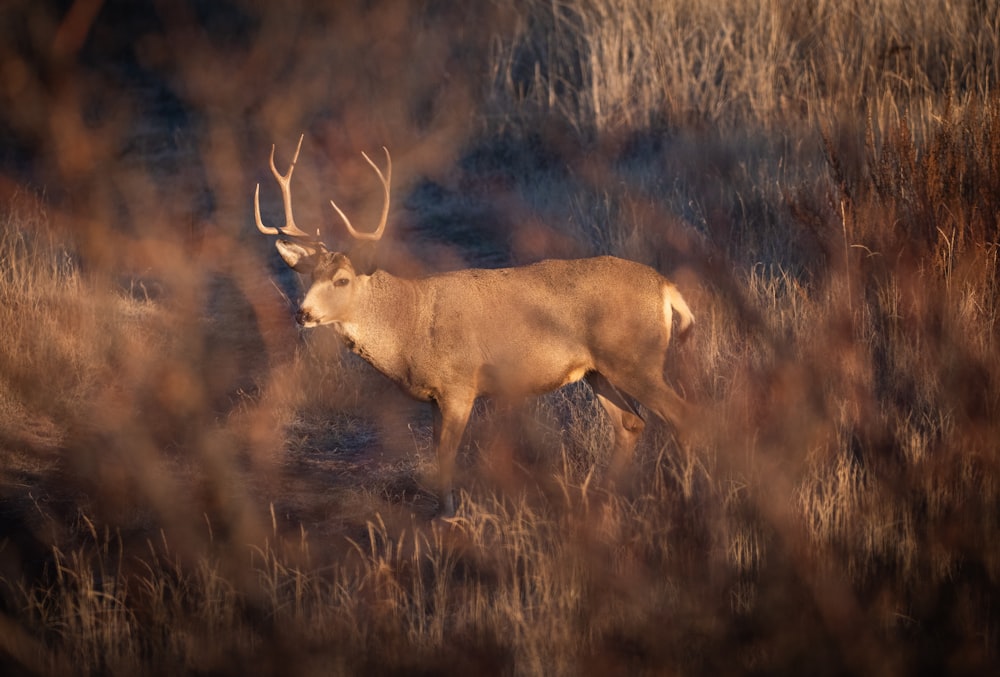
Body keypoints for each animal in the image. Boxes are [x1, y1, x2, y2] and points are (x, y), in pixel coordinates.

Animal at [258, 135, 696, 516]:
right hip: (598, 370)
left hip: (636, 360)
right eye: (308, 276)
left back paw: (686, 497)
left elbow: (447, 454)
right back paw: (606, 498)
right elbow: (437, 451)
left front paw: (448, 513)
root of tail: (666, 287)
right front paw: (441, 508)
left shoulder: (459, 385)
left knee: (681, 415)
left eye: (342, 280)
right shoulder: (436, 396)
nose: (302, 313)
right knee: (631, 423)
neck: (410, 324)